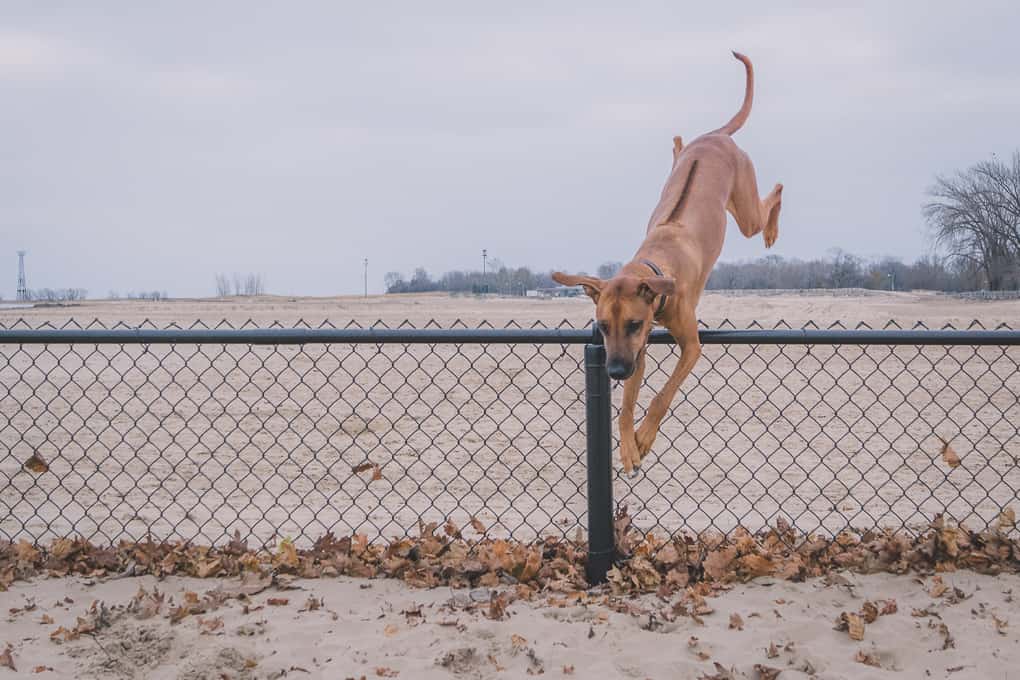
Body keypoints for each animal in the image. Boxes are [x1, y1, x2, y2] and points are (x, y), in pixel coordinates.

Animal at [550, 53, 779, 477]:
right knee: (684, 152)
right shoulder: (635, 351)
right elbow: (625, 406)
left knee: (774, 195)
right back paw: (677, 145)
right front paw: (628, 447)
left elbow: (661, 395)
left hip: (745, 211)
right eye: (602, 327)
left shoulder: (688, 344)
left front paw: (644, 437)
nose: (614, 372)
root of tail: (714, 135)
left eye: (633, 323)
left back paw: (772, 227)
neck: (653, 266)